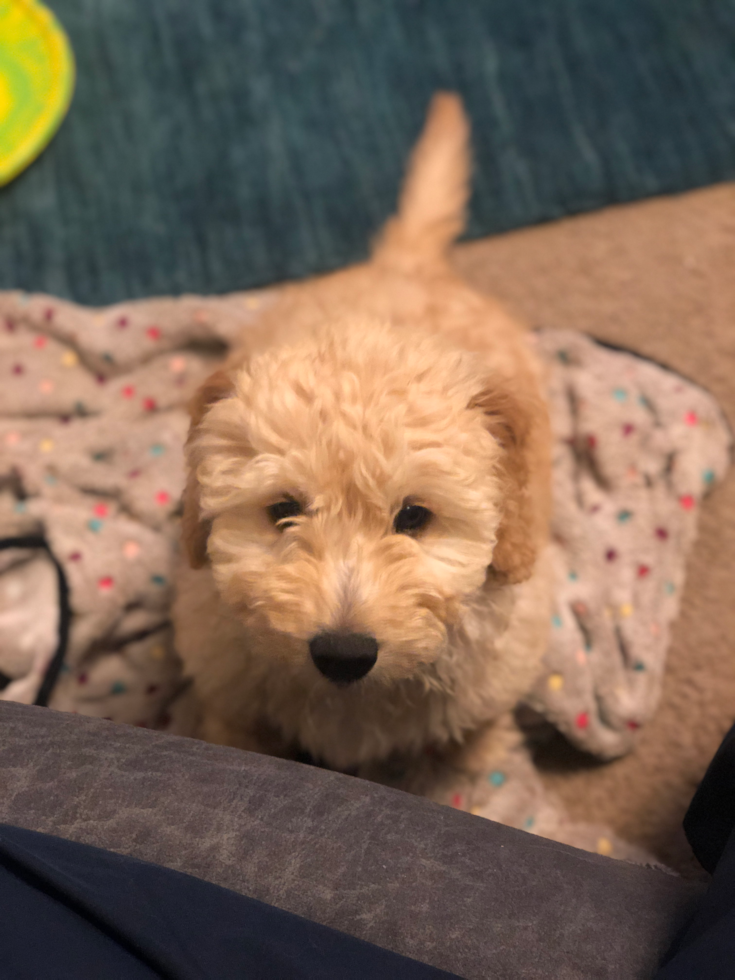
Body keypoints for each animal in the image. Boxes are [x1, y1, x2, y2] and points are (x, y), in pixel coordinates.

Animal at [172, 94, 552, 796]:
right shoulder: (228, 690)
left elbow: (477, 730)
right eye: (282, 511)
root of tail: (406, 262)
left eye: (415, 517)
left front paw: (480, 765)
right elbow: (235, 733)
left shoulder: (496, 670)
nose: (343, 653)